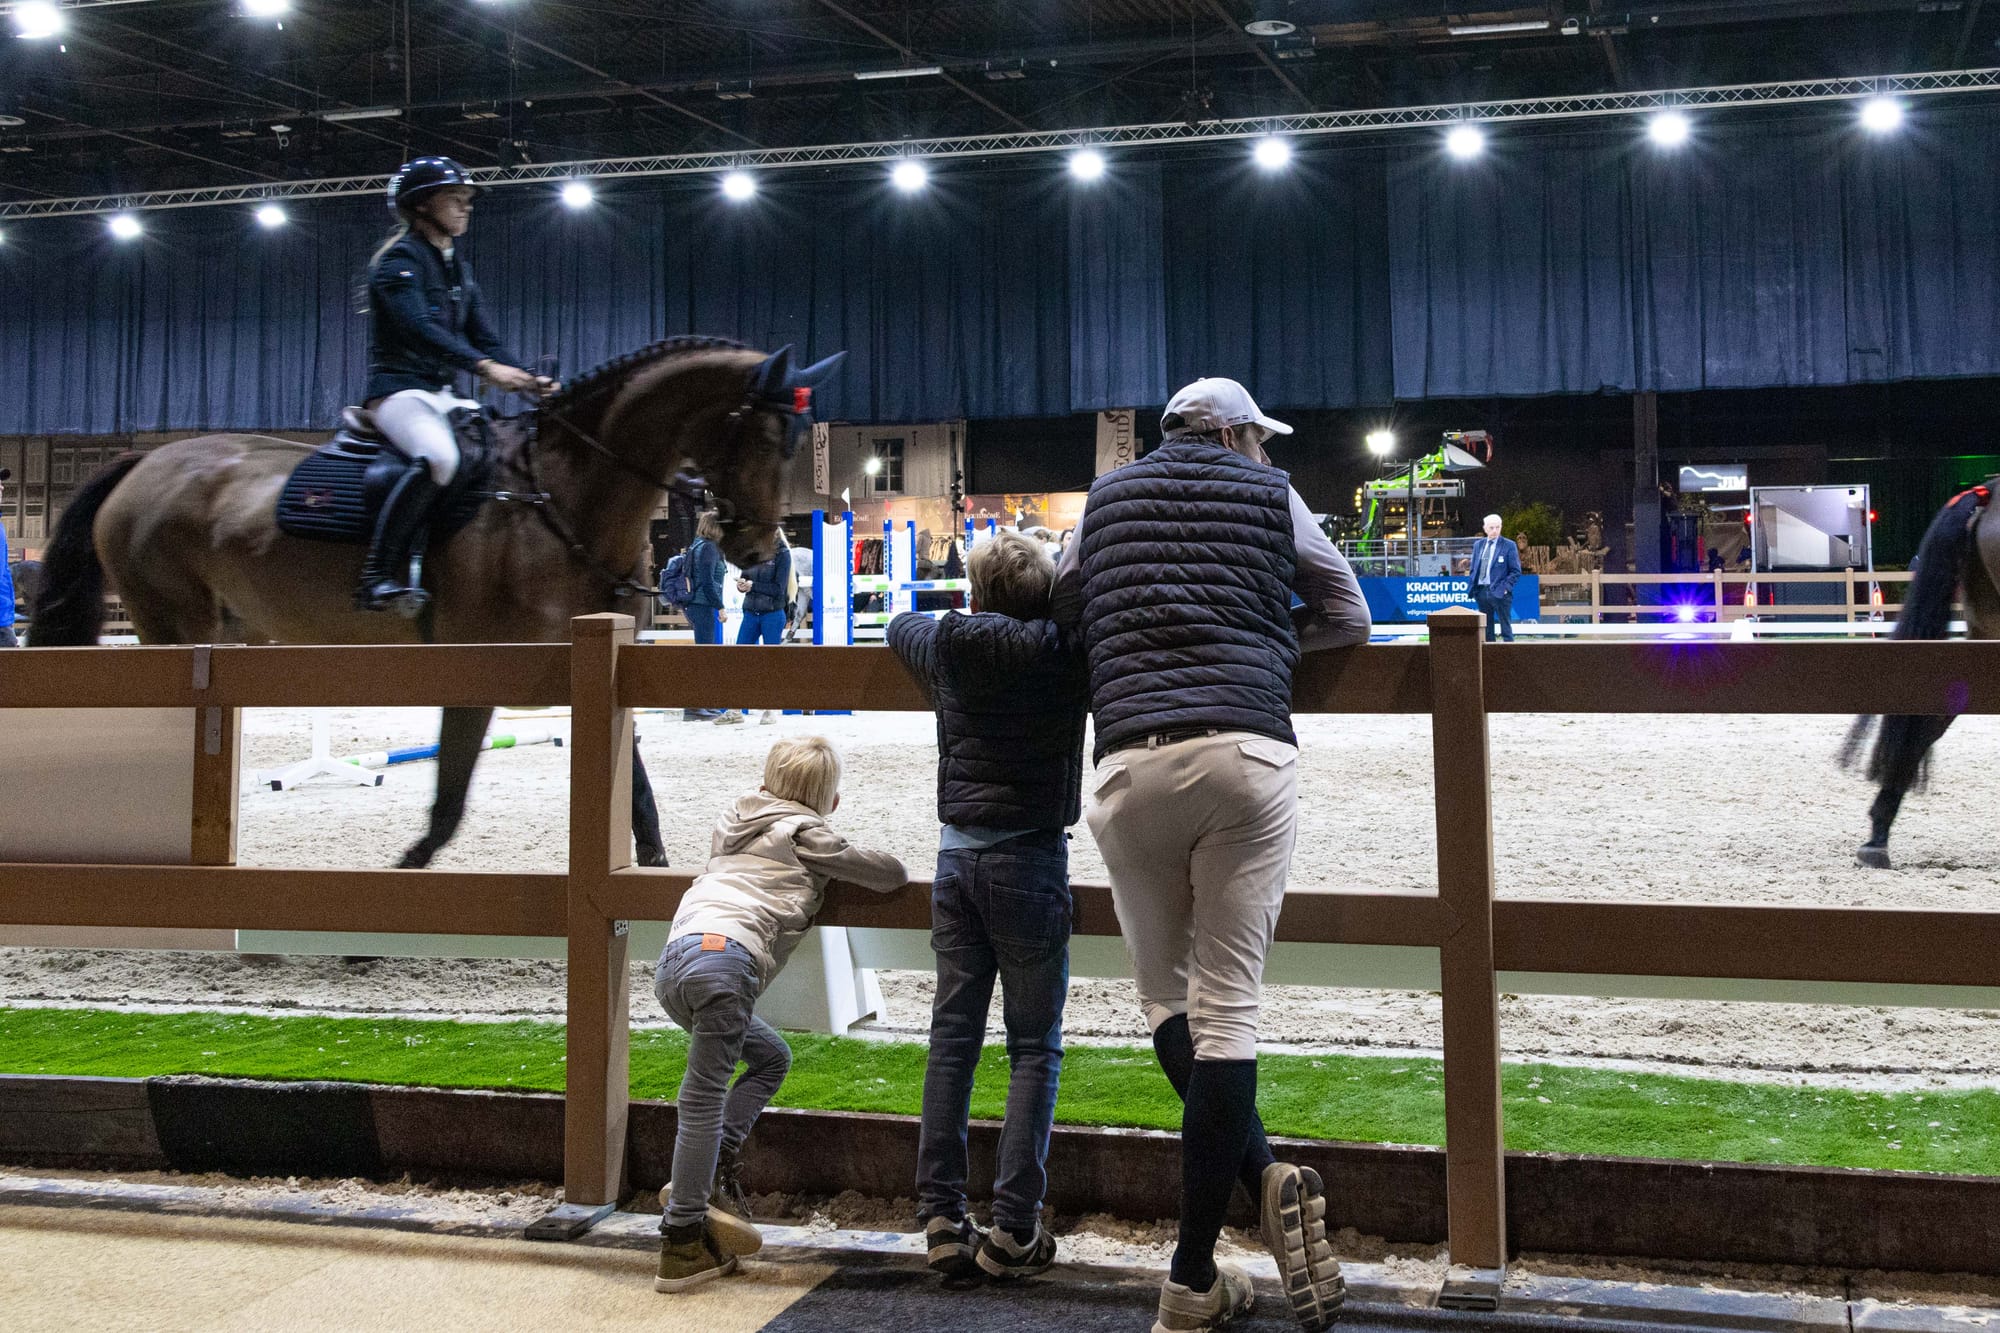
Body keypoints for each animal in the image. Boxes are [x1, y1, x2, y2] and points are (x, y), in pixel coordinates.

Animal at [30, 336, 837, 870]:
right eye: (762, 434)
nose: (755, 549)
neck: (559, 498)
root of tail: (148, 459)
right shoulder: (481, 664)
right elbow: (450, 794)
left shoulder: (596, 661)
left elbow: (631, 774)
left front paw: (653, 859)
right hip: (172, 625)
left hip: (227, 637)